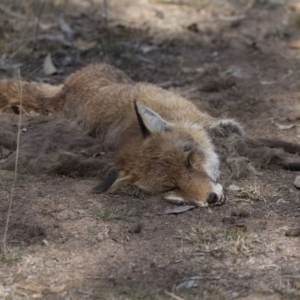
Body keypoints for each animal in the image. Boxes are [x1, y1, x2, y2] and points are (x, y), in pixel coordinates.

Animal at [0, 63, 298, 206]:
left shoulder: (233, 132)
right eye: (171, 187)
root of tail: (68, 83)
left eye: (189, 162)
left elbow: (275, 144)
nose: (211, 199)